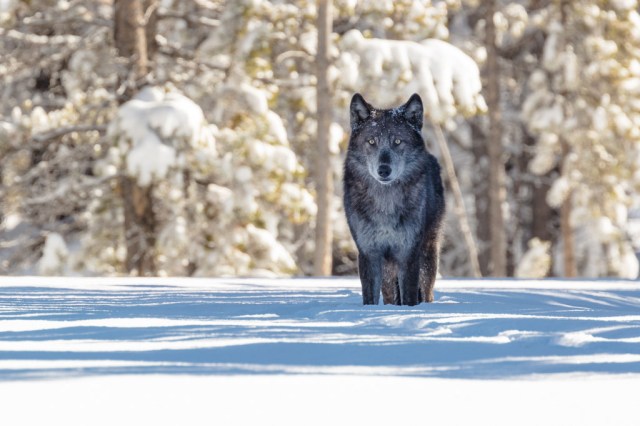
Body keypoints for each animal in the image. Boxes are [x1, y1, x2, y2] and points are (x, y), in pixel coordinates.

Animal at [343, 93, 445, 305]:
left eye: (397, 141)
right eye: (371, 141)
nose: (384, 170)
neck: (385, 202)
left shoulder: (408, 253)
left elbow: (409, 296)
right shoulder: (369, 253)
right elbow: (370, 298)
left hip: (428, 255)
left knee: (426, 292)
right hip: (388, 270)